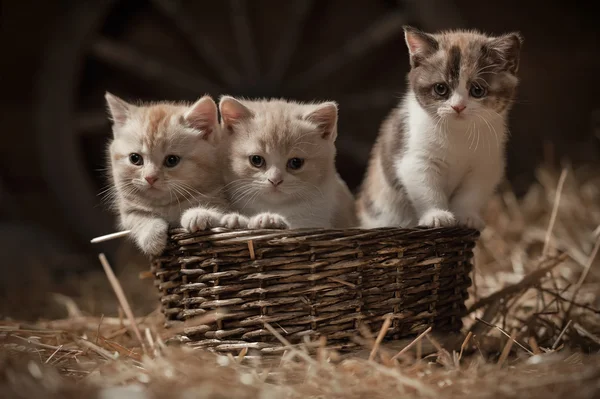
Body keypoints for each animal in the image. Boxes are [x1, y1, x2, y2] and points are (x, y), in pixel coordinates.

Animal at [105, 93, 230, 256]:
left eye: (172, 160)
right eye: (135, 158)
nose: (150, 178)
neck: (167, 206)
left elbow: (221, 211)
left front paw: (199, 213)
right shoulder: (127, 209)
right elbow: (138, 217)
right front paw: (151, 236)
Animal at [358, 26, 524, 231]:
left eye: (477, 90)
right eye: (440, 88)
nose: (458, 106)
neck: (458, 132)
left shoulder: (485, 165)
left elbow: (472, 193)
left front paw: (466, 216)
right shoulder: (415, 158)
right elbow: (426, 188)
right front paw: (436, 215)